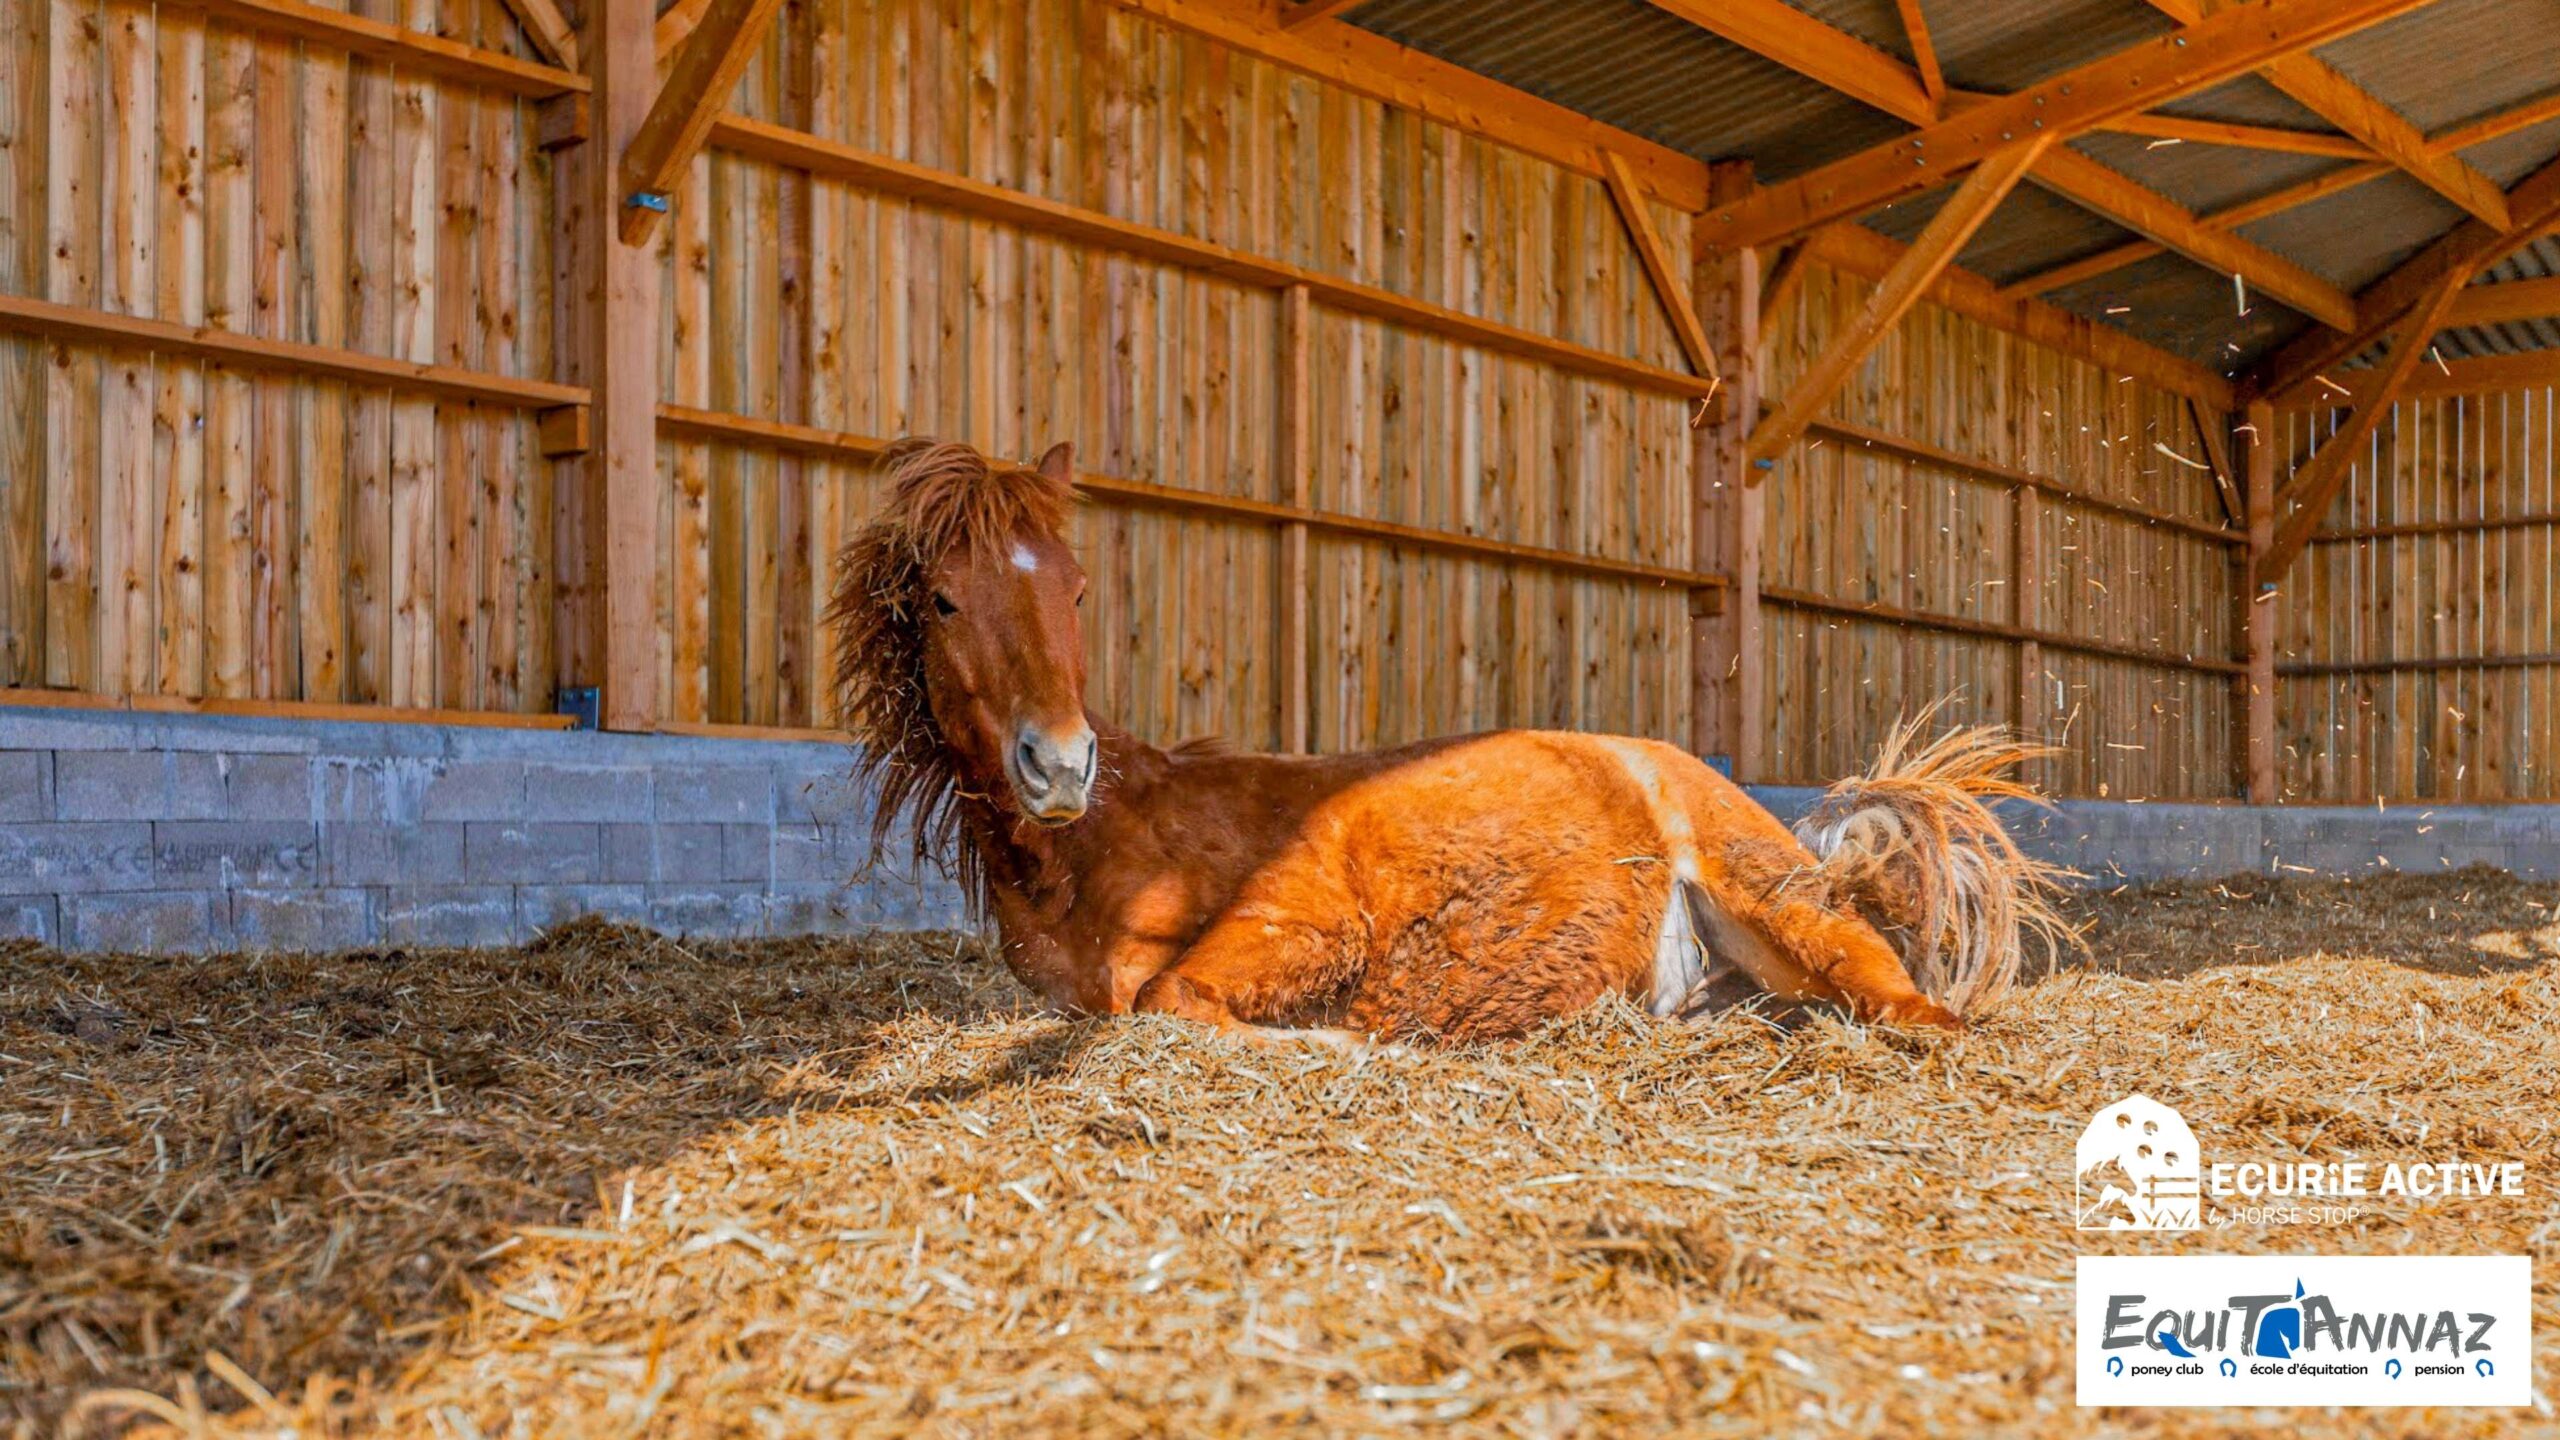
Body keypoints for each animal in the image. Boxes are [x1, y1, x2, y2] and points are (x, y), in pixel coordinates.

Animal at [829, 440, 2068, 1040]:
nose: (1059, 764)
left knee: (1917, 1011)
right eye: (941, 599)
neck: (1113, 842)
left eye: (1077, 589)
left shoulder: (1297, 914)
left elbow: (1173, 1007)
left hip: (1784, 909)